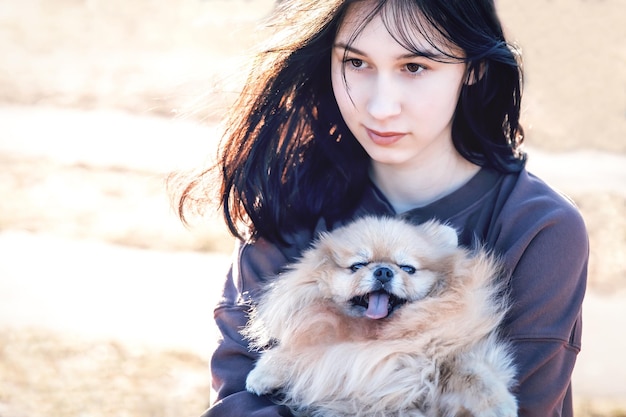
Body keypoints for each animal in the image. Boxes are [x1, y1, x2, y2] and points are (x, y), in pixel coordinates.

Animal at [241, 216, 516, 416]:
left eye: (407, 268)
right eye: (358, 265)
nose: (383, 271)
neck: (379, 336)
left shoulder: (446, 353)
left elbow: (473, 373)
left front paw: (498, 405)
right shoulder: (333, 356)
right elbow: (299, 355)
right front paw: (262, 373)